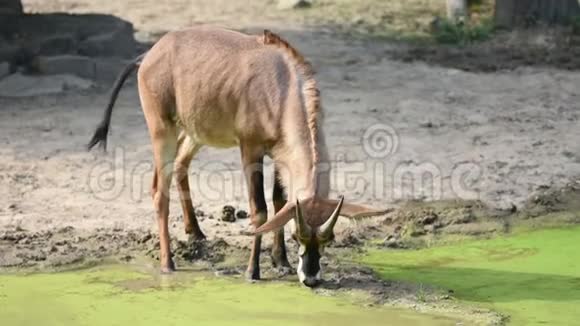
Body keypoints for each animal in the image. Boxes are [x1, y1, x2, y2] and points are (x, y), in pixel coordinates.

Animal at [88, 25, 390, 286]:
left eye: (330, 238)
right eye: (296, 235)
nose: (312, 278)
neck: (283, 84)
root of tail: (148, 56)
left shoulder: (278, 153)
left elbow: (280, 201)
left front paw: (281, 261)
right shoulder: (250, 148)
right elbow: (260, 210)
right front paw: (252, 272)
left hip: (195, 132)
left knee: (181, 164)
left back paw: (195, 232)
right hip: (163, 129)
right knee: (159, 190)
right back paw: (168, 264)